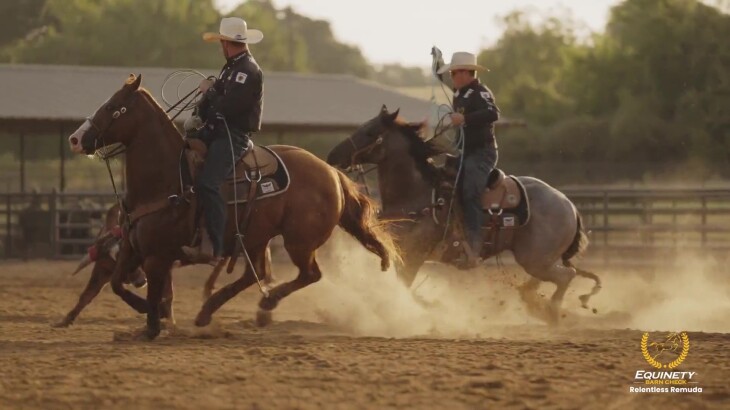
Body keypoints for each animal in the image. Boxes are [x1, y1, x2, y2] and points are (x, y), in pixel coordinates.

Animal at [67, 74, 399, 339]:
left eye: (113, 107)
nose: (75, 139)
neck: (166, 180)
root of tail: (332, 172)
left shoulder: (158, 256)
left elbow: (149, 292)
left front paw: (151, 324)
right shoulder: (131, 248)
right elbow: (116, 283)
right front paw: (148, 312)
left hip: (298, 242)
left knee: (309, 275)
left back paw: (265, 303)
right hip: (257, 238)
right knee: (255, 274)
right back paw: (207, 312)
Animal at [326, 105, 601, 324]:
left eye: (370, 132)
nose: (332, 155)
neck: (416, 195)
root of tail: (569, 205)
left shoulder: (413, 255)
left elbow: (403, 287)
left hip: (535, 258)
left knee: (567, 275)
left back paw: (552, 313)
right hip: (539, 259)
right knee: (548, 279)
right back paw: (536, 305)